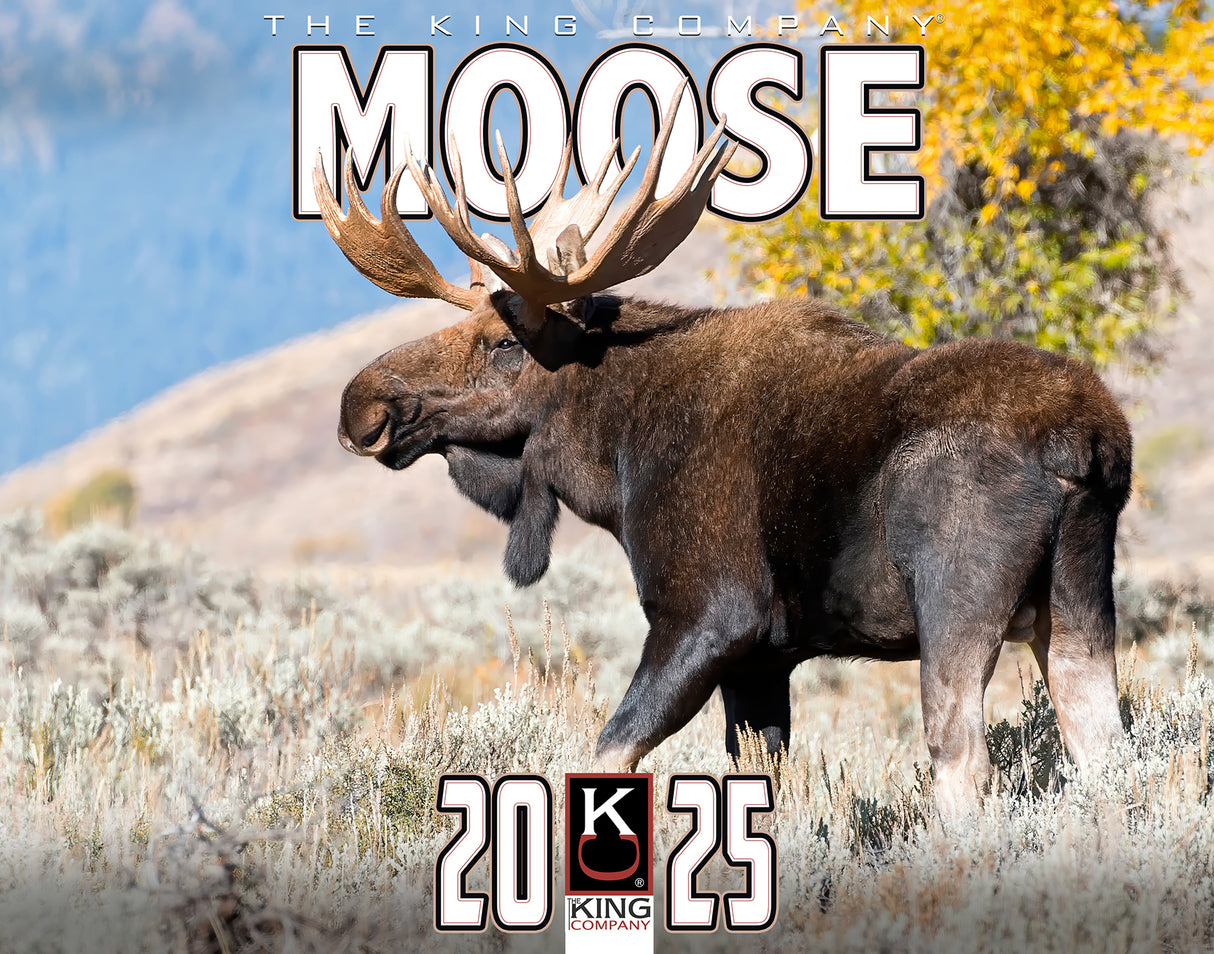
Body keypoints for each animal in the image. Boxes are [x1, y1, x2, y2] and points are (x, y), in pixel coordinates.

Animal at [314, 88, 1132, 821]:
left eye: (504, 343)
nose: (362, 404)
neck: (613, 457)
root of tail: (1085, 440)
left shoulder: (711, 615)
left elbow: (606, 753)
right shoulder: (764, 660)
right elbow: (759, 785)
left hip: (956, 602)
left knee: (962, 764)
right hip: (1076, 607)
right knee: (1103, 753)